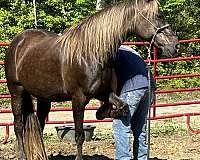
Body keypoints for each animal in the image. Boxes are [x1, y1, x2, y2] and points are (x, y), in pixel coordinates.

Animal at [4, 0, 180, 159]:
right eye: (159, 15)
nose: (175, 46)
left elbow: (122, 106)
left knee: (39, 126)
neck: (91, 53)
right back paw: (22, 155)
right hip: (16, 92)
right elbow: (79, 135)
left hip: (44, 97)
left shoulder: (103, 93)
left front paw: (105, 113)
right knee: (18, 126)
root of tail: (18, 41)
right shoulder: (78, 99)